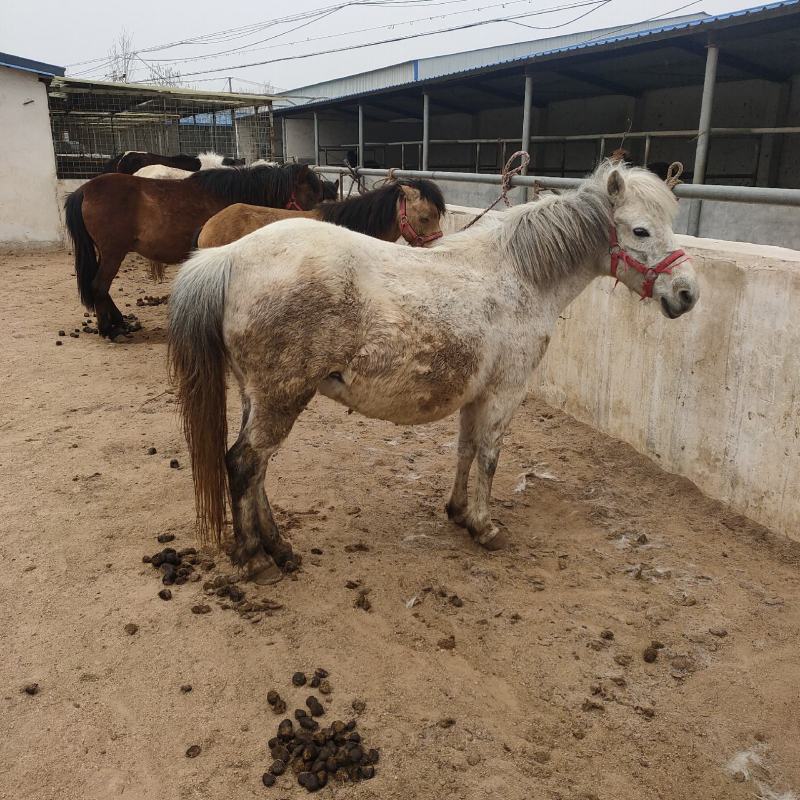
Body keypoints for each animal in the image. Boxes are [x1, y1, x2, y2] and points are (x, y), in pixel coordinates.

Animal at [65, 163, 323, 338]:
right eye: (310, 194)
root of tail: (85, 190)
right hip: (113, 252)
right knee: (99, 286)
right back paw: (109, 329)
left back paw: (118, 322)